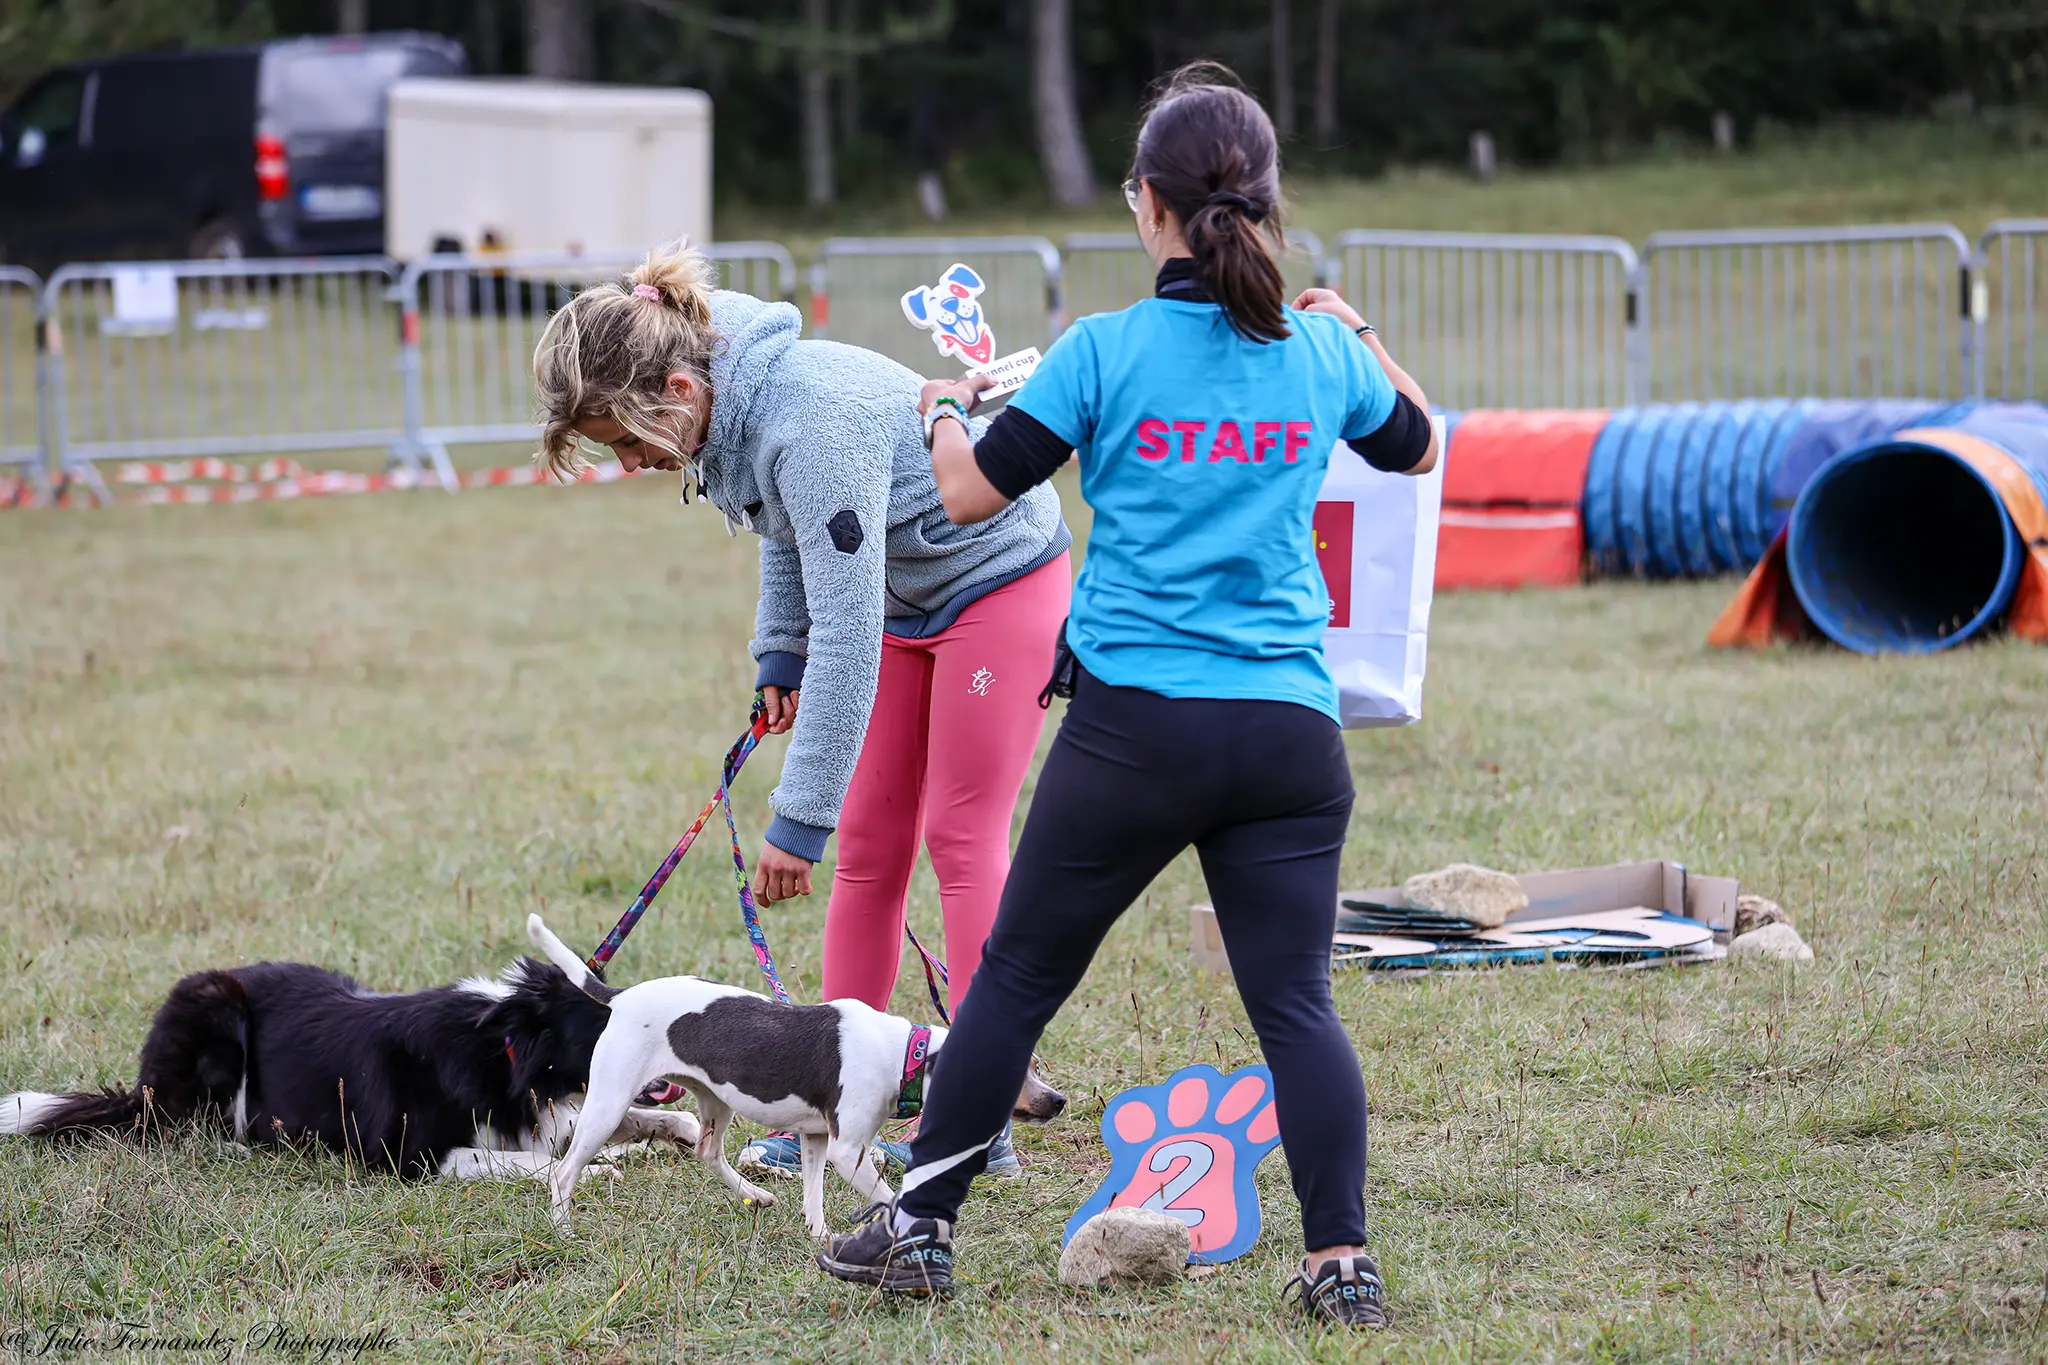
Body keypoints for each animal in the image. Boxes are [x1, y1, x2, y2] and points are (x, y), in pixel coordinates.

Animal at [524, 916, 1073, 1236]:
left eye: (1035, 1068)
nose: (1058, 1100)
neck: (905, 1055)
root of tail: (621, 996)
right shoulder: (847, 1151)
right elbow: (889, 1196)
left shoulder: (815, 1139)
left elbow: (813, 1196)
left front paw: (820, 1235)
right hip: (608, 1104)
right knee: (564, 1171)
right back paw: (563, 1228)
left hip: (714, 1099)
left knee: (708, 1152)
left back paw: (755, 1194)